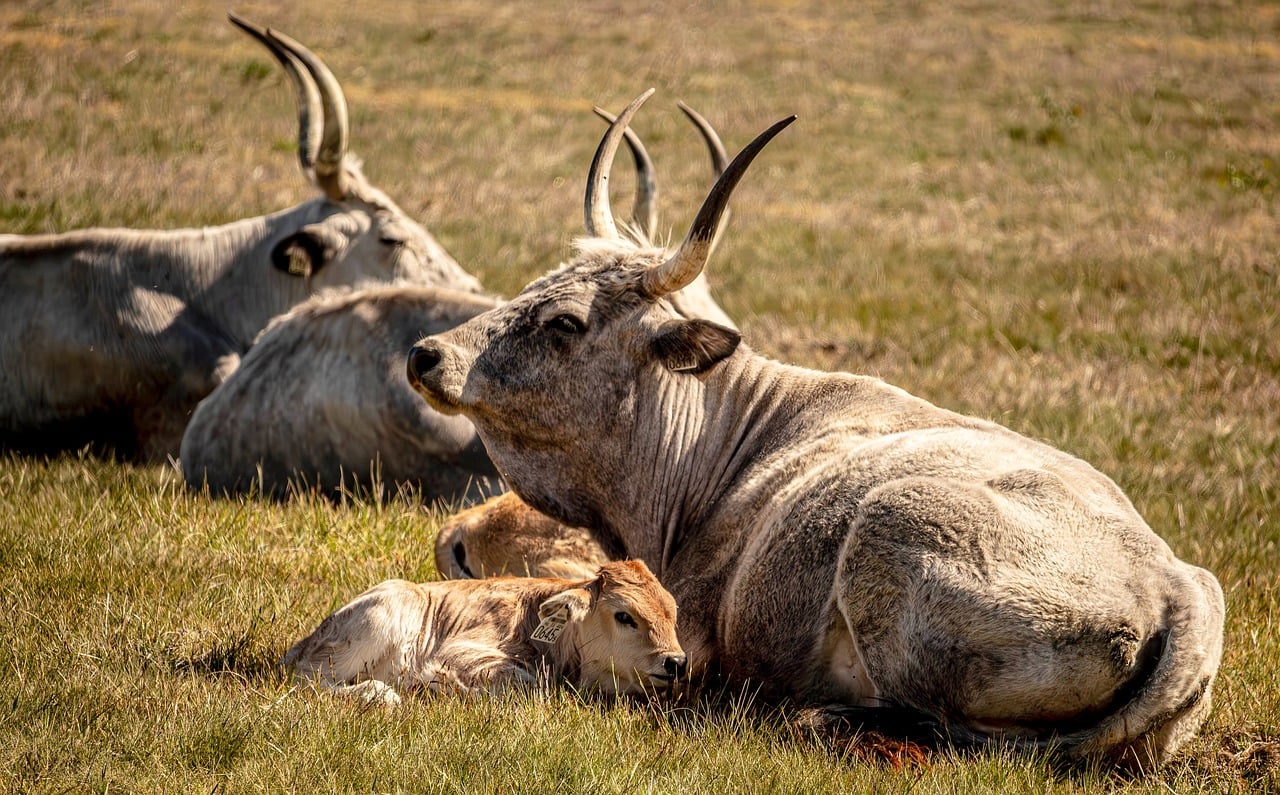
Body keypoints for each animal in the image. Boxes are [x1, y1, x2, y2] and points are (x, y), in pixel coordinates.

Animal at [281, 559, 686, 704]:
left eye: (673, 615)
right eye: (624, 616)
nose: (676, 662)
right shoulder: (457, 651)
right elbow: (526, 684)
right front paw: (438, 686)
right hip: (383, 614)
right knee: (310, 682)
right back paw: (380, 693)